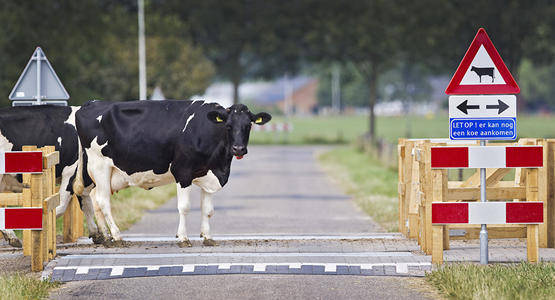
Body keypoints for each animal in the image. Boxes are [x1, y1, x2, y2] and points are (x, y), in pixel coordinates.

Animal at [0, 105, 99, 246]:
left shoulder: (82, 180)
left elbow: (87, 205)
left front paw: (98, 235)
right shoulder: (71, 173)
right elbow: (61, 206)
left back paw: (12, 237)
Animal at [75, 100, 272, 246]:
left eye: (248, 126)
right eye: (229, 126)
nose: (238, 149)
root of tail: (91, 103)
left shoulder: (209, 174)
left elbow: (208, 210)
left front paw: (208, 237)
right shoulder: (183, 172)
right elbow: (184, 207)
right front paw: (183, 238)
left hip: (108, 174)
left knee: (94, 199)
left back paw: (104, 237)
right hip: (100, 165)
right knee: (103, 201)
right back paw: (116, 236)